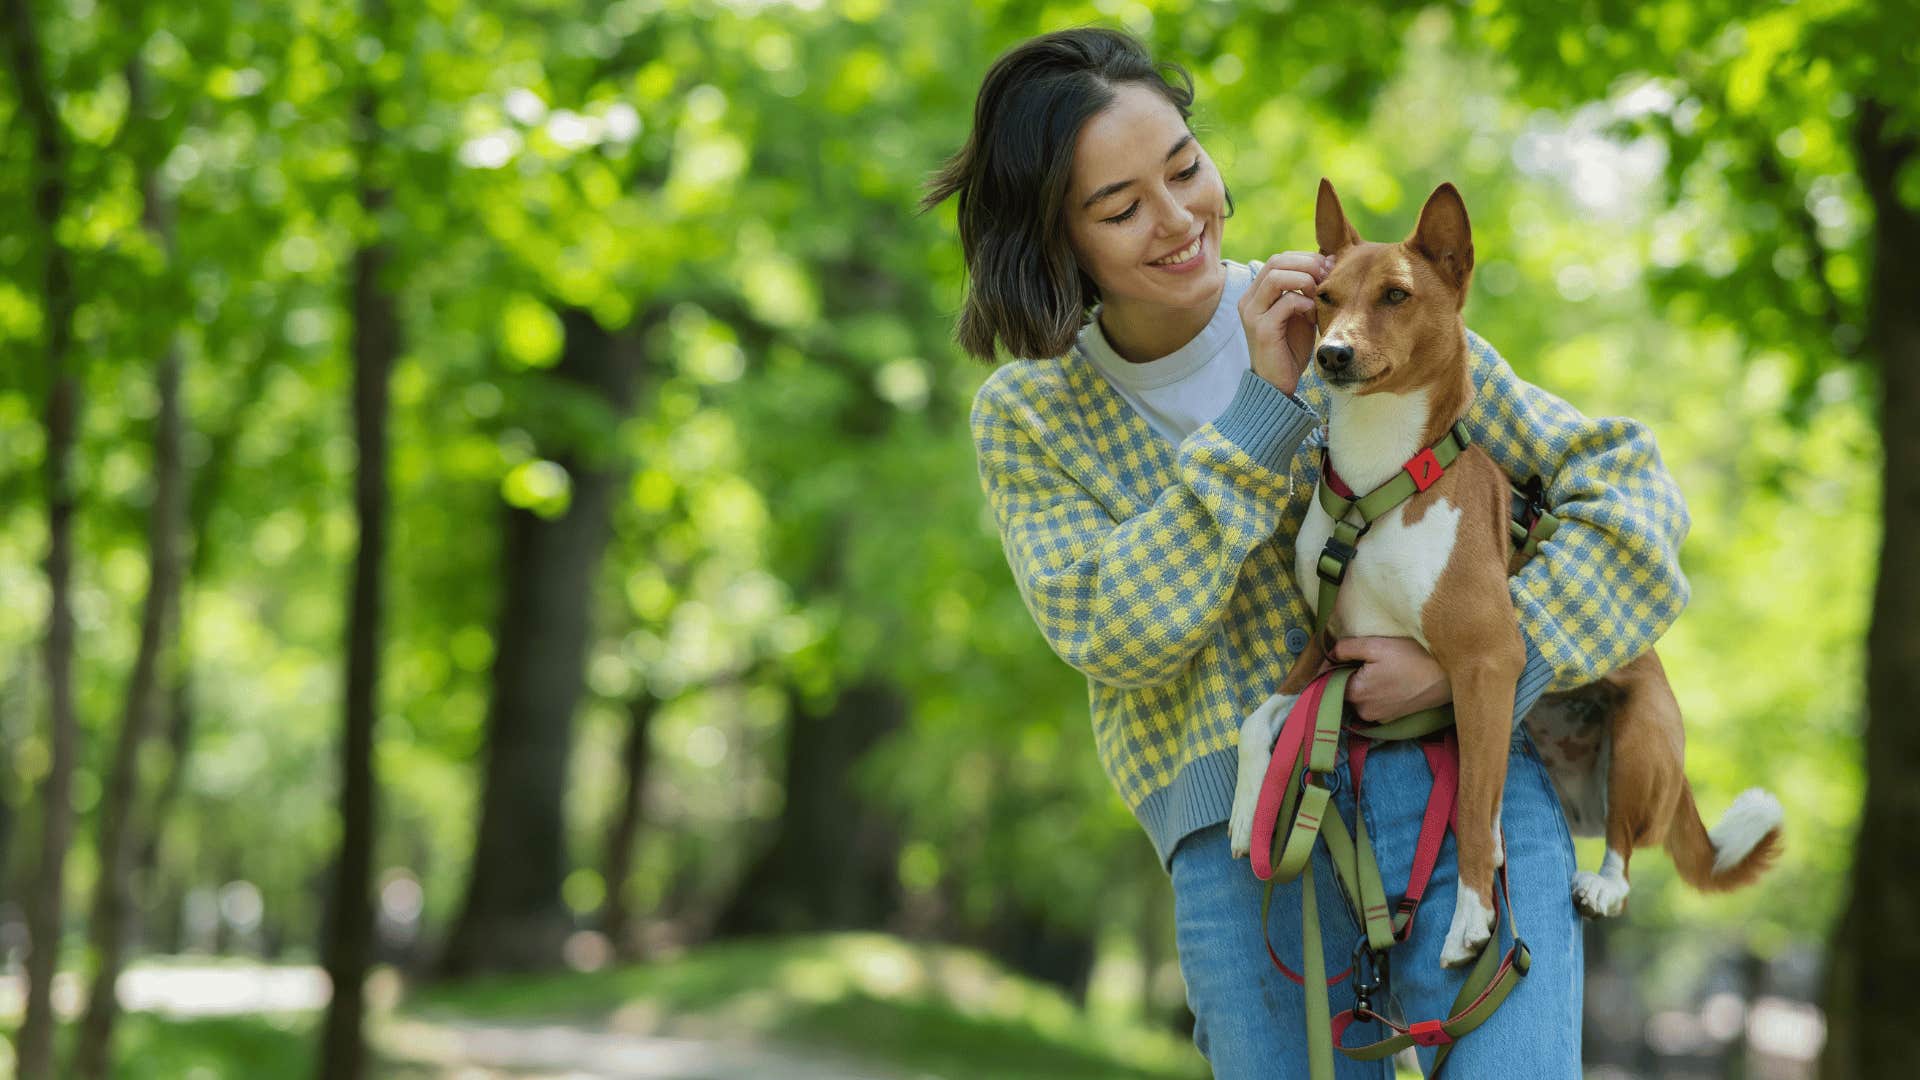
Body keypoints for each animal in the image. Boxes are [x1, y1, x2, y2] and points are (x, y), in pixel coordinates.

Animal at [1228, 178, 1781, 968]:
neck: (1378, 481)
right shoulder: (1330, 648)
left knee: (1619, 841)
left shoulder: (1485, 663)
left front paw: (1470, 920)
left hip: (1641, 739)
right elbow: (1259, 720)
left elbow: (1468, 809)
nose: (1331, 355)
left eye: (1396, 295)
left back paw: (1602, 883)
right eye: (1325, 297)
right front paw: (1247, 812)